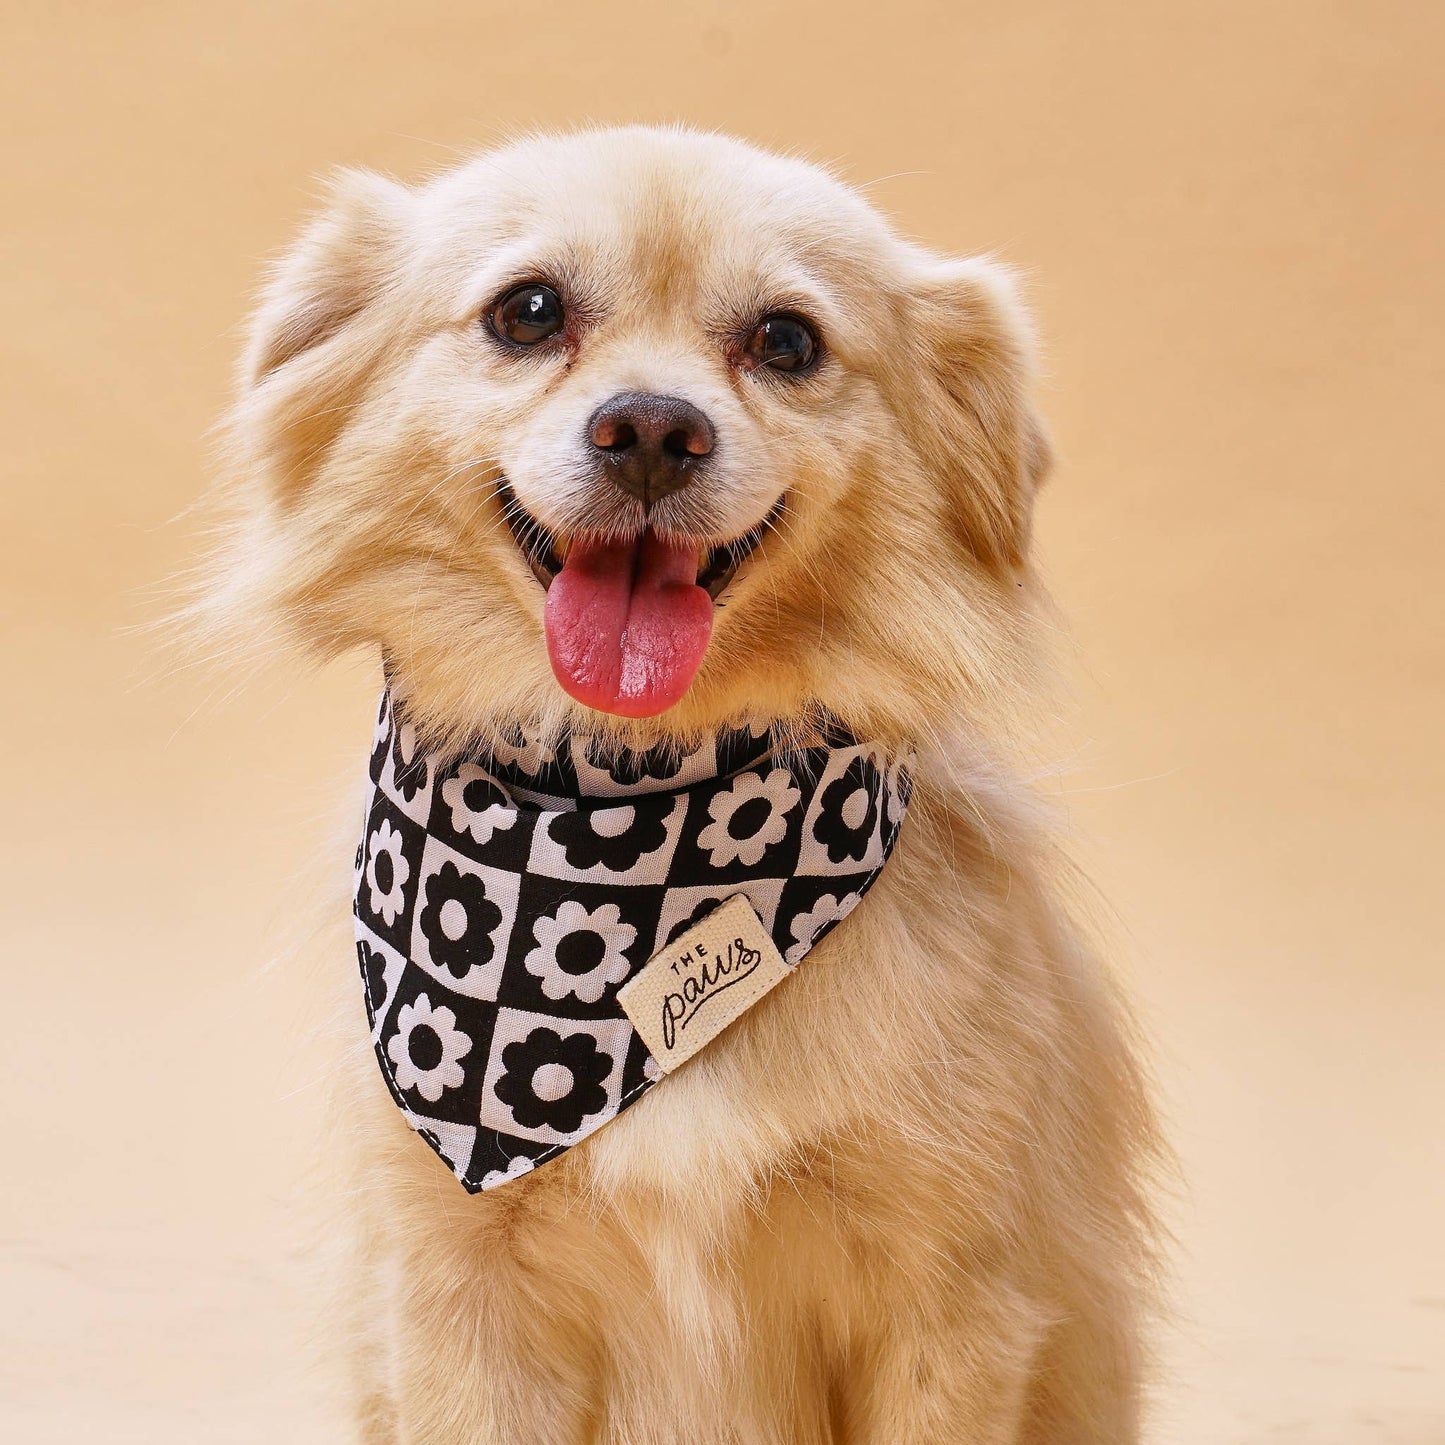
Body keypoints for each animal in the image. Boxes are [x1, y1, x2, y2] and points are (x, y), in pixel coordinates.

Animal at [213, 124, 1156, 1445]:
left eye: (786, 340)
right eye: (527, 311)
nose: (653, 429)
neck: (623, 819)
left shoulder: (951, 1303)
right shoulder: (456, 1299)